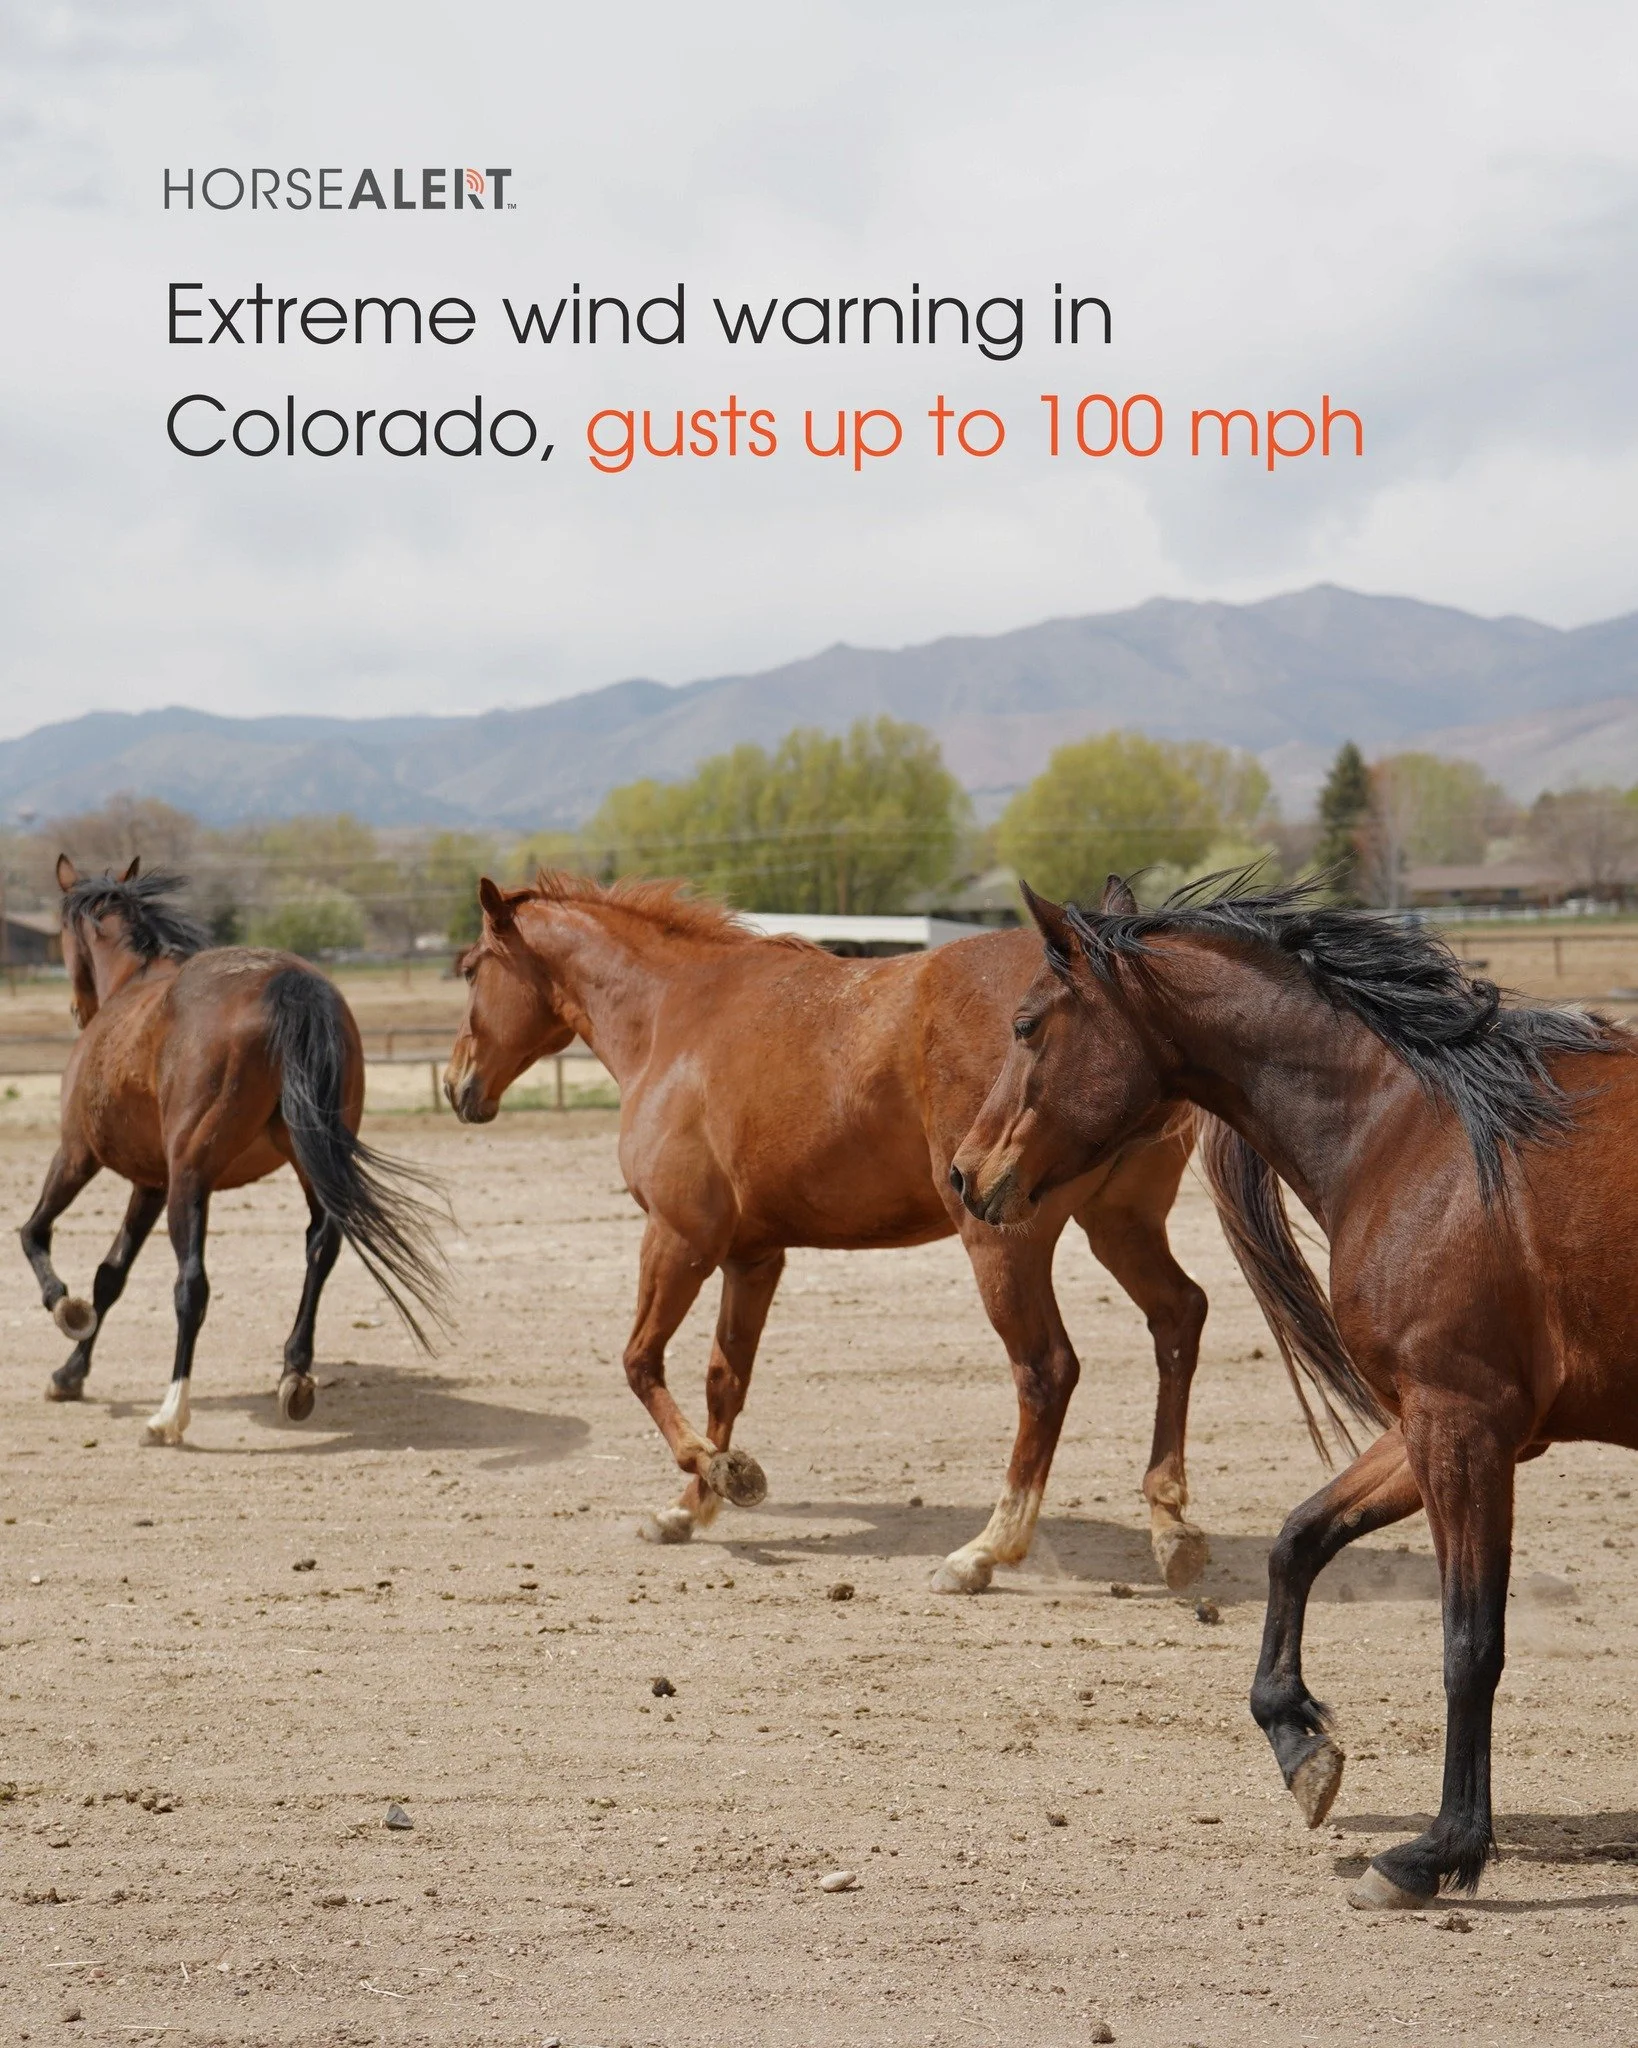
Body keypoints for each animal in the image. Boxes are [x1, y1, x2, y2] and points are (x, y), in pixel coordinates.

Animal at [19, 858, 447, 1442]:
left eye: (64, 935)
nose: (77, 1010)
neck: (136, 983)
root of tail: (291, 985)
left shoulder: (78, 1156)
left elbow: (35, 1234)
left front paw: (67, 1312)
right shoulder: (151, 1182)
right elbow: (111, 1275)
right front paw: (70, 1373)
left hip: (191, 1181)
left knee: (192, 1286)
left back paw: (170, 1413)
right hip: (308, 1169)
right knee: (319, 1251)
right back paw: (295, 1376)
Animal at [439, 869, 1232, 1595]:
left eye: (471, 968)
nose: (456, 1085)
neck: (674, 1017)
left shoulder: (678, 1239)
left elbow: (640, 1363)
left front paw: (722, 1472)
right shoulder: (752, 1258)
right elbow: (725, 1379)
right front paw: (694, 1505)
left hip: (1004, 1242)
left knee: (1047, 1371)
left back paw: (987, 1549)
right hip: (1121, 1228)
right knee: (1178, 1318)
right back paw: (1170, 1526)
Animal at [949, 871, 1631, 1909]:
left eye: (1027, 1025)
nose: (964, 1174)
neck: (1421, 1134)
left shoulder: (1459, 1423)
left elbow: (1470, 1642)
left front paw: (1437, 1853)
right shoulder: (1453, 1424)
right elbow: (1298, 1538)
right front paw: (1299, 1742)